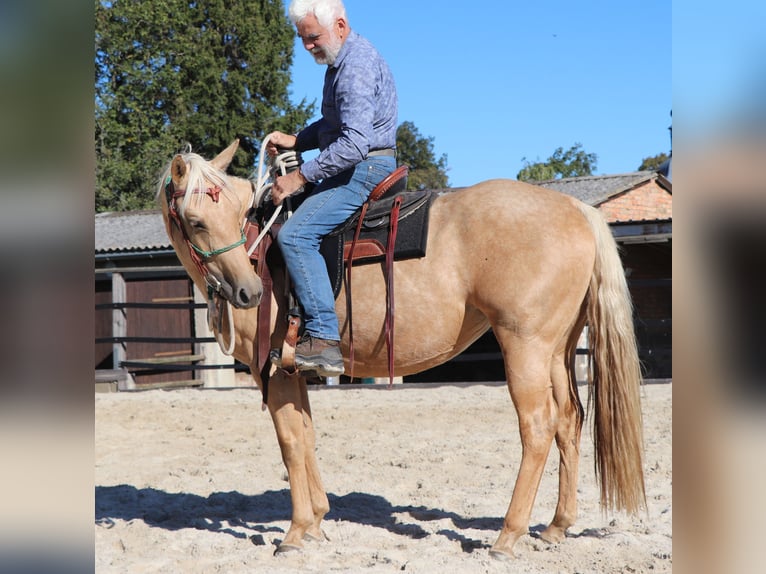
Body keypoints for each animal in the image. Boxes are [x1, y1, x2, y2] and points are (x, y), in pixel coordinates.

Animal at [158, 141, 648, 564]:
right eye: (197, 220)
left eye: (224, 214)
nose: (249, 292)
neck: (262, 246)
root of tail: (576, 210)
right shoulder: (294, 371)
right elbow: (308, 436)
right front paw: (316, 521)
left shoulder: (273, 372)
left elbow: (291, 443)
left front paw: (295, 533)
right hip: (557, 350)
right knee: (568, 420)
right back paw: (555, 527)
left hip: (524, 346)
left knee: (538, 427)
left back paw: (508, 536)